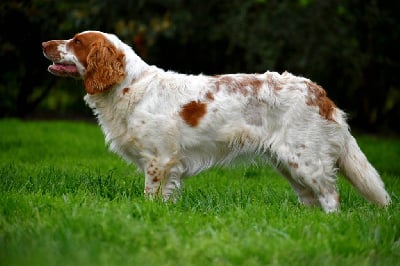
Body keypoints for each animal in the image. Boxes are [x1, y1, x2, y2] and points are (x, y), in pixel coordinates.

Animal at [41, 30, 390, 212]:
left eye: (76, 42)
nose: (43, 43)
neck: (129, 86)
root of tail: (319, 92)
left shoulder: (159, 160)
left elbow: (151, 194)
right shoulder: (166, 165)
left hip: (305, 159)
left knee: (331, 196)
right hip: (288, 163)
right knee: (310, 199)